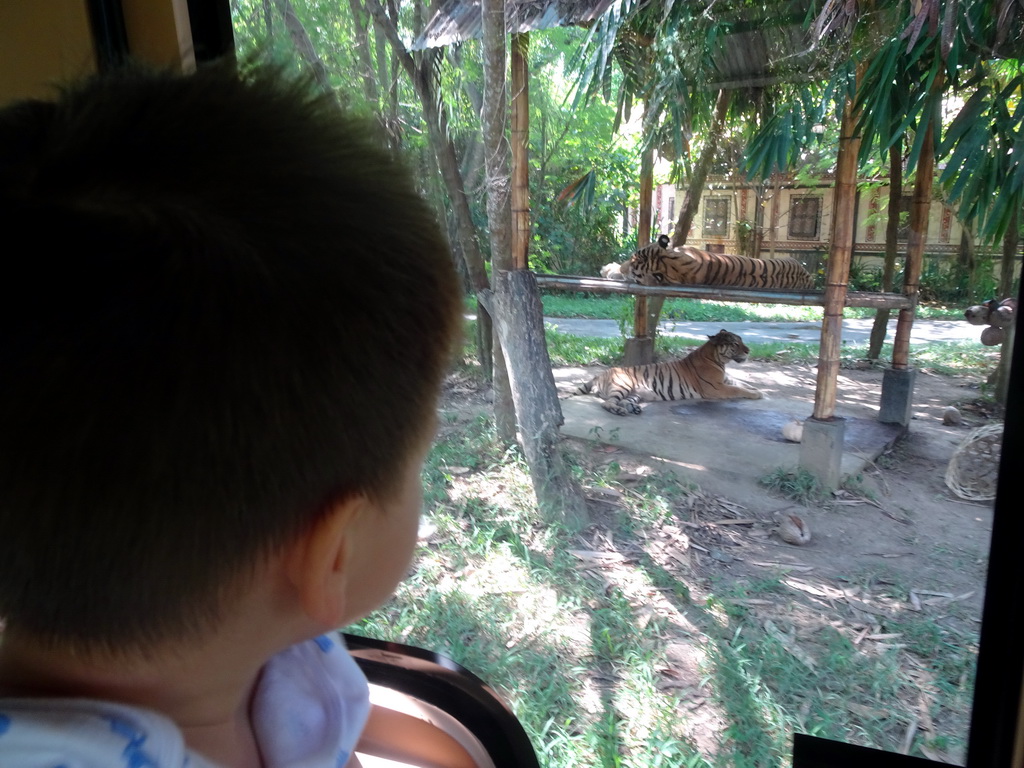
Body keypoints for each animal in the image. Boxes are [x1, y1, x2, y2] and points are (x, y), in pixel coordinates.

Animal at [577, 329, 761, 417]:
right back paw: (620, 411)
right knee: (607, 403)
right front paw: (756, 394)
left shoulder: (725, 380)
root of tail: (599, 375)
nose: (749, 350)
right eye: (735, 343)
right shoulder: (716, 388)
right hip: (623, 384)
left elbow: (743, 383)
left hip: (636, 393)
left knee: (621, 401)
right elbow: (738, 389)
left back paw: (633, 409)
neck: (719, 360)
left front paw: (758, 390)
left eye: (741, 340)